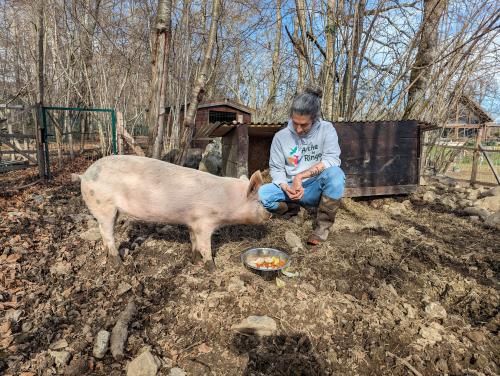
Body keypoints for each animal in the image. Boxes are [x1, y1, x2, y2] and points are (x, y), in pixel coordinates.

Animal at [74, 154, 270, 268]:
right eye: (260, 201)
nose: (270, 214)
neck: (227, 200)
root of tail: (85, 174)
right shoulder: (204, 222)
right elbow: (206, 246)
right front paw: (212, 268)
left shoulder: (192, 222)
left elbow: (193, 240)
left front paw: (194, 260)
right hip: (103, 205)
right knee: (108, 234)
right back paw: (119, 264)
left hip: (111, 211)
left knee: (103, 232)